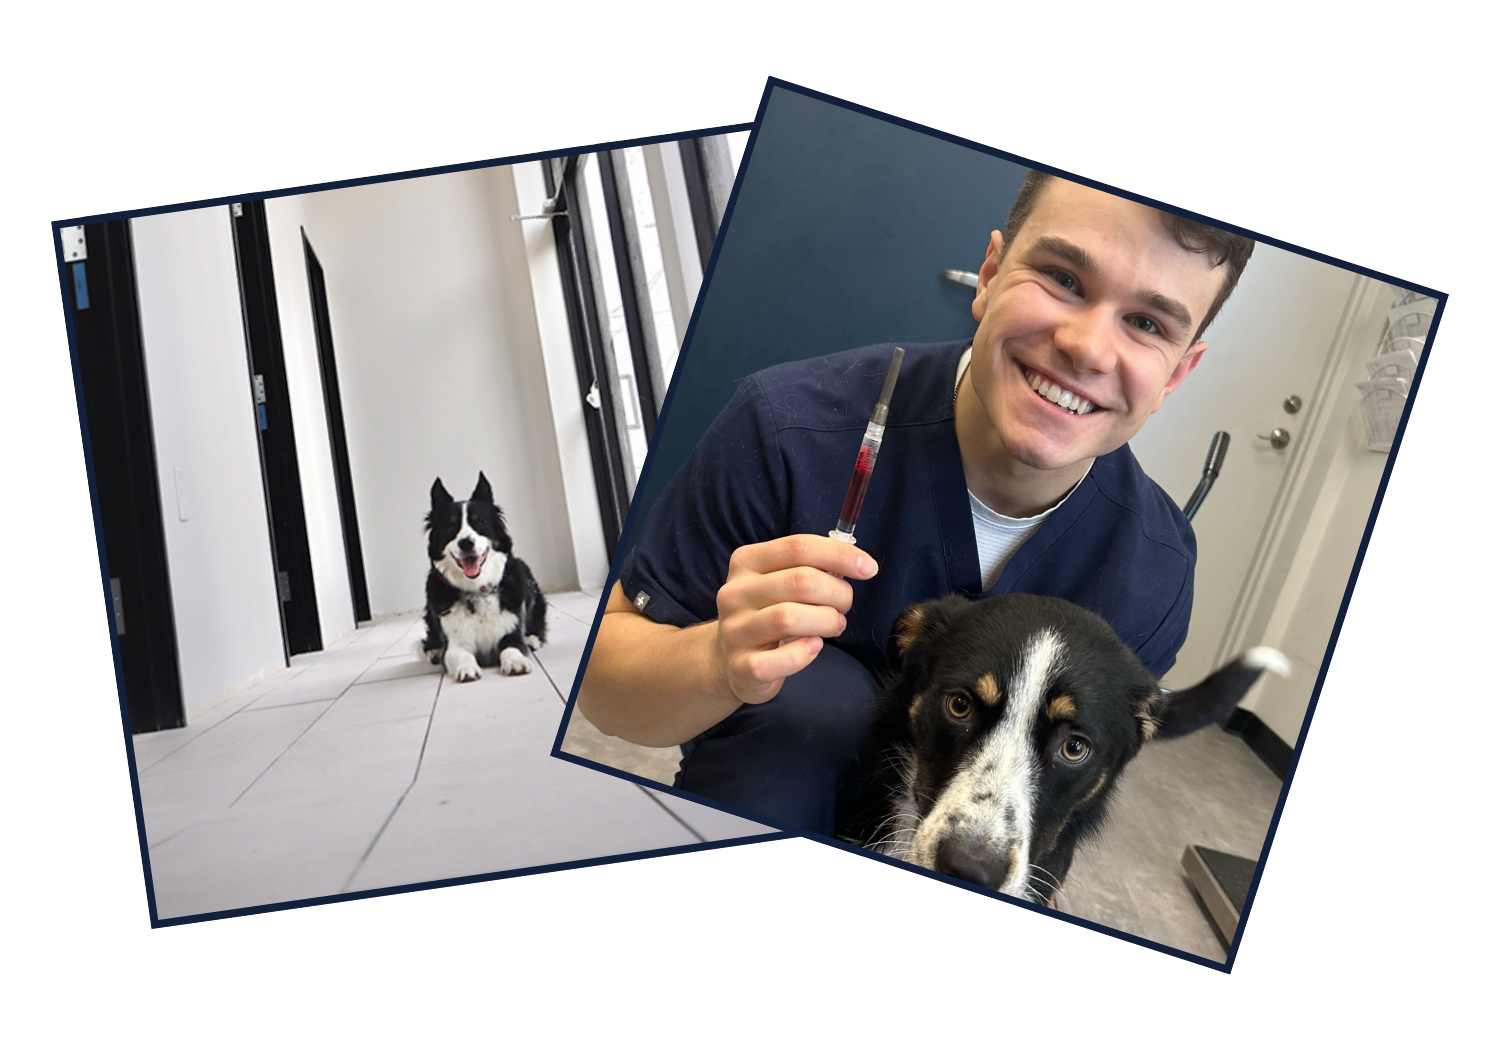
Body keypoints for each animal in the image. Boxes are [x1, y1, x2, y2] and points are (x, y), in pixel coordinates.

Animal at [420, 474, 549, 684]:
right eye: (451, 526)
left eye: (479, 523)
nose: (466, 543)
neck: (476, 590)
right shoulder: (455, 643)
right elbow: (461, 654)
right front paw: (466, 669)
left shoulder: (511, 631)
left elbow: (512, 647)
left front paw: (515, 662)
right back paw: (434, 651)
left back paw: (532, 639)